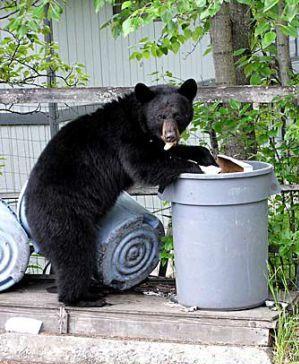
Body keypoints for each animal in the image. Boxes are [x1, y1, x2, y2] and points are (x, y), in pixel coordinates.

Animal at [25, 78, 218, 306]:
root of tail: (29, 214)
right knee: (74, 253)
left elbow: (168, 151)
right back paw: (83, 298)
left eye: (178, 114)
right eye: (160, 116)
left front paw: (207, 157)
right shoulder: (124, 139)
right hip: (63, 215)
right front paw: (196, 168)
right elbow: (144, 164)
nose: (170, 134)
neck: (139, 120)